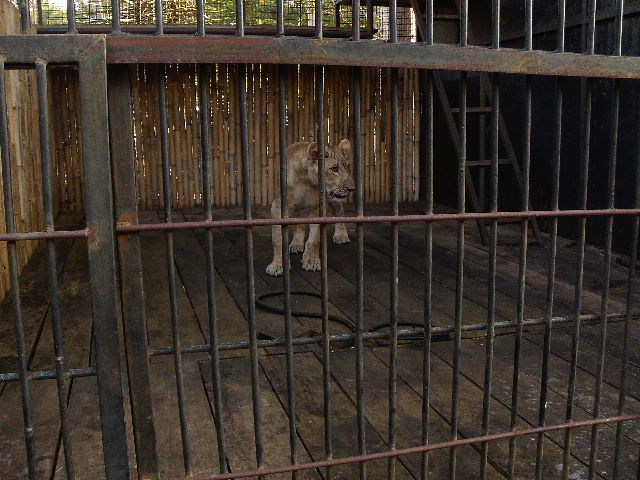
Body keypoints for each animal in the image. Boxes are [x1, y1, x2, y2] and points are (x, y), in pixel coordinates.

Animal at [264, 138, 356, 278]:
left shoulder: (317, 208)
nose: (351, 189)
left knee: (339, 211)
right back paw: (296, 243)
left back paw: (341, 235)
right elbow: (277, 239)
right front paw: (278, 266)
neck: (305, 180)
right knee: (299, 224)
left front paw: (312, 261)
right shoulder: (278, 207)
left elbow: (314, 239)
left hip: (332, 200)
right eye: (334, 169)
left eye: (348, 166)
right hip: (297, 208)